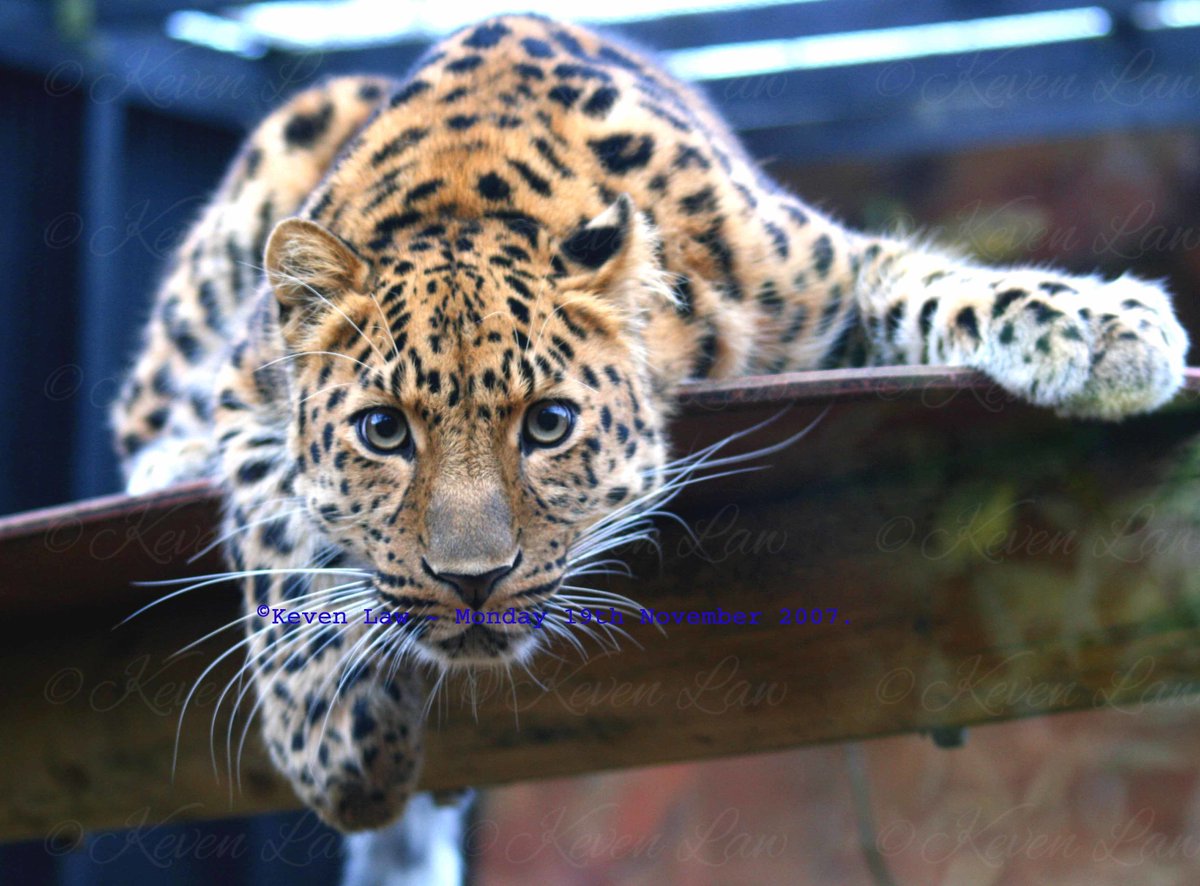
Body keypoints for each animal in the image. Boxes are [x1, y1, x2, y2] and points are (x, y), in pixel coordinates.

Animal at [111, 14, 1189, 837]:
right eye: (383, 432)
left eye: (549, 424)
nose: (472, 581)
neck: (467, 195)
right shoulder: (248, 394)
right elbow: (277, 533)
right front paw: (336, 744)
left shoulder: (826, 275)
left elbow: (935, 281)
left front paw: (1105, 326)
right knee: (142, 406)